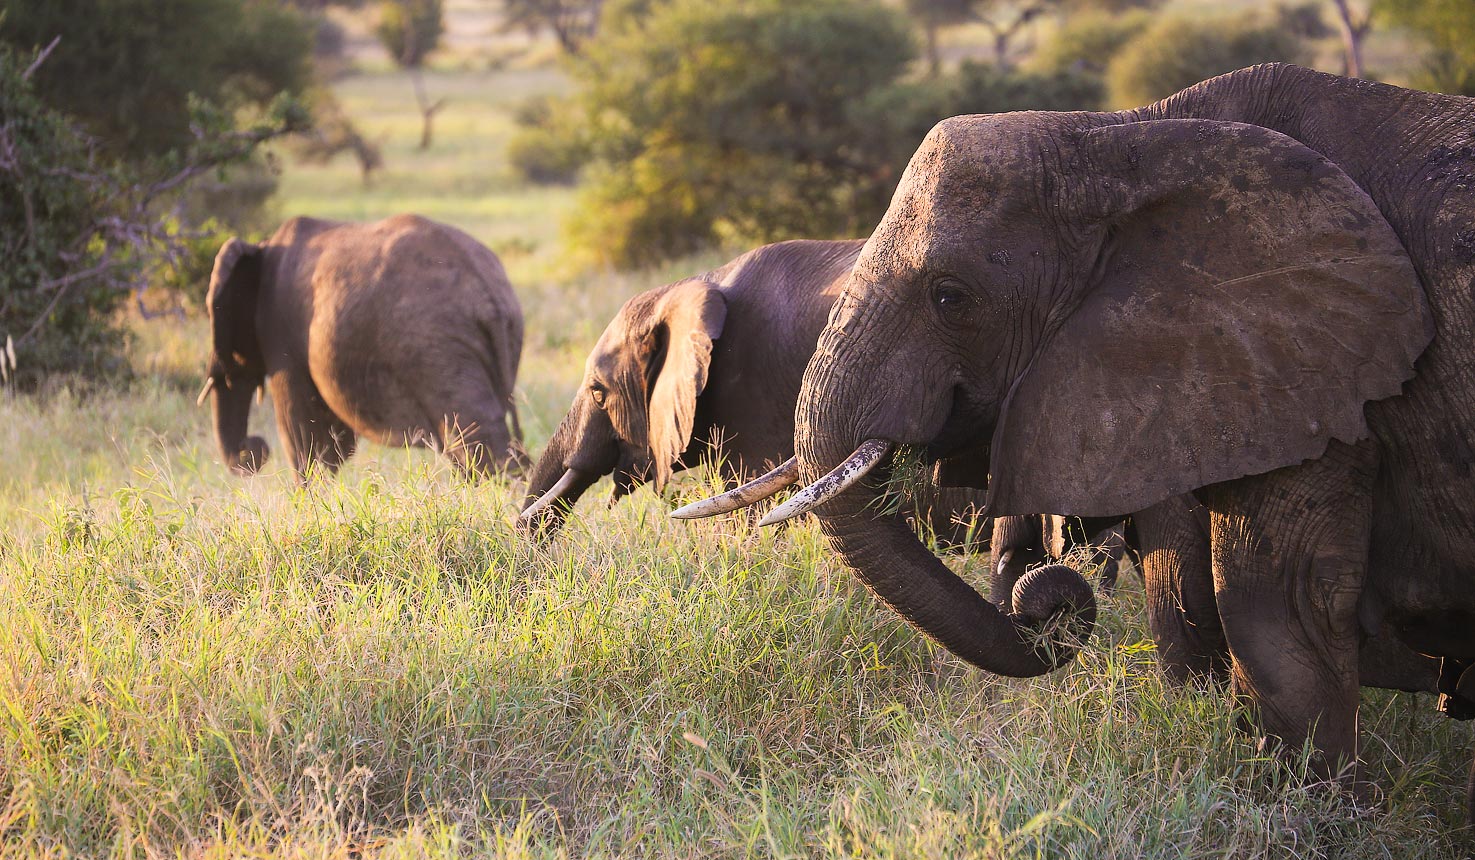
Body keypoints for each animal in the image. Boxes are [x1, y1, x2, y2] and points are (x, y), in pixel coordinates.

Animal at [199, 213, 528, 480]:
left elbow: (302, 433)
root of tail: (489, 295)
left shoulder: (279, 331)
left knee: (475, 441)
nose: (253, 448)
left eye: (216, 313)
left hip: (439, 347)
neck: (261, 247)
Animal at [687, 63, 1475, 796]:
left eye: (951, 297)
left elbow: (1272, 606)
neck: (1122, 140)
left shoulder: (1310, 368)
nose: (1046, 595)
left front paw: (1314, 812)